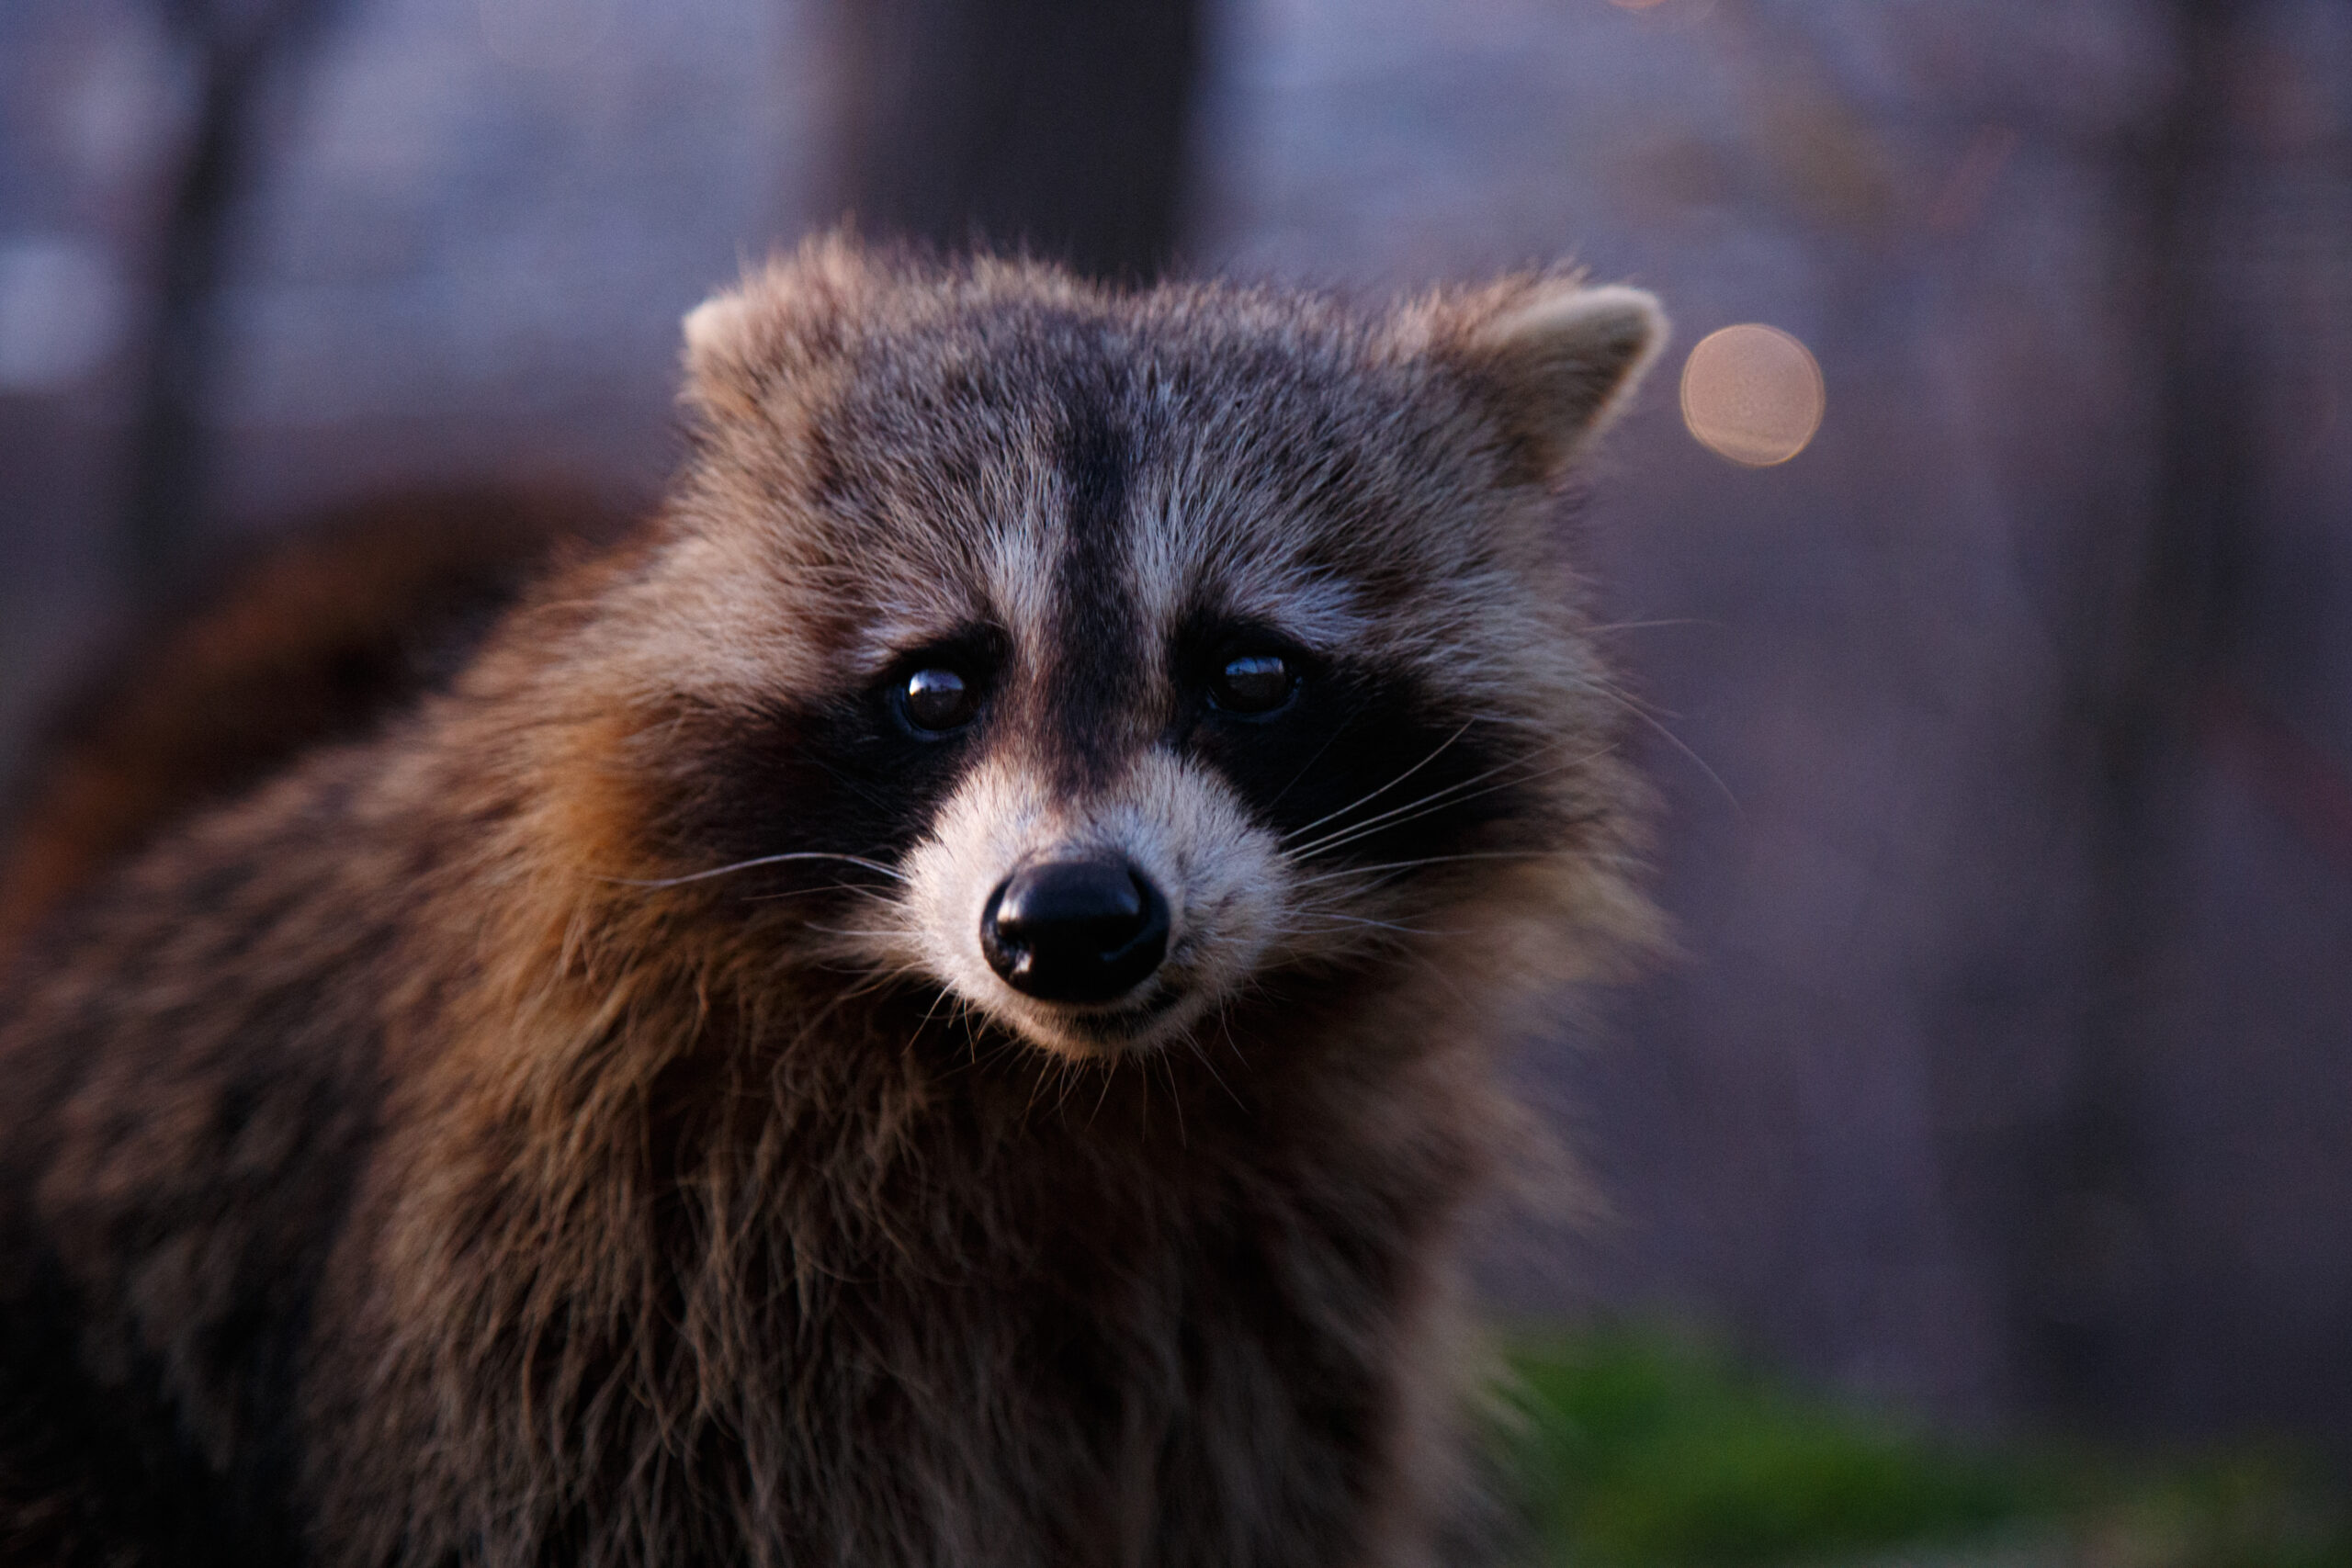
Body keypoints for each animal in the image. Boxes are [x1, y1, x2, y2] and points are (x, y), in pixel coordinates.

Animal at [0, 236, 1656, 1568]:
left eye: (1250, 672)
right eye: (935, 684)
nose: (1070, 919)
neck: (1059, 1089)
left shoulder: (1278, 1296)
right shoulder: (589, 1244)